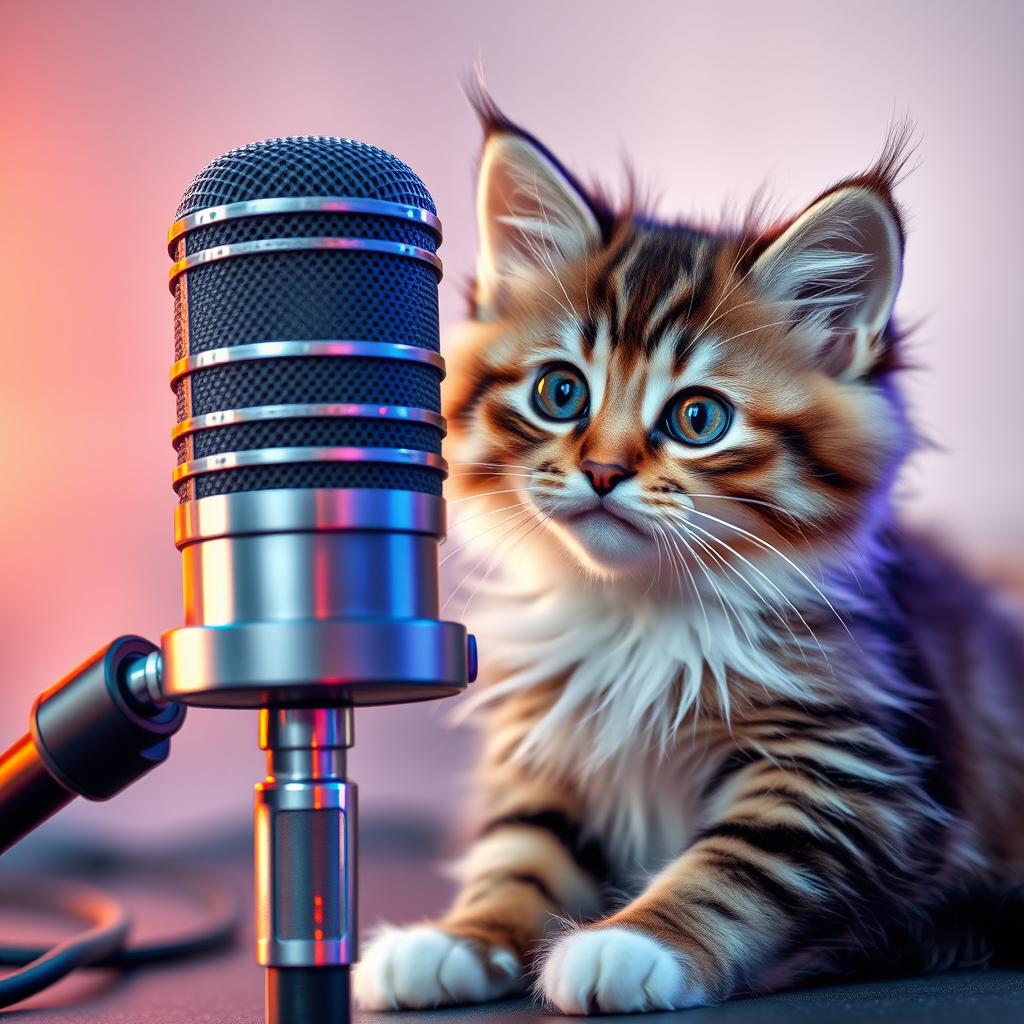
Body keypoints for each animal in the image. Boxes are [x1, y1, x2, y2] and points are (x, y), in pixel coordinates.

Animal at [352, 97, 1024, 1015]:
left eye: (698, 419)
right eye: (560, 392)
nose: (602, 470)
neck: (635, 613)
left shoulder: (849, 770)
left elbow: (733, 866)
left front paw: (634, 943)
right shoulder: (549, 755)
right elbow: (518, 854)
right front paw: (458, 939)